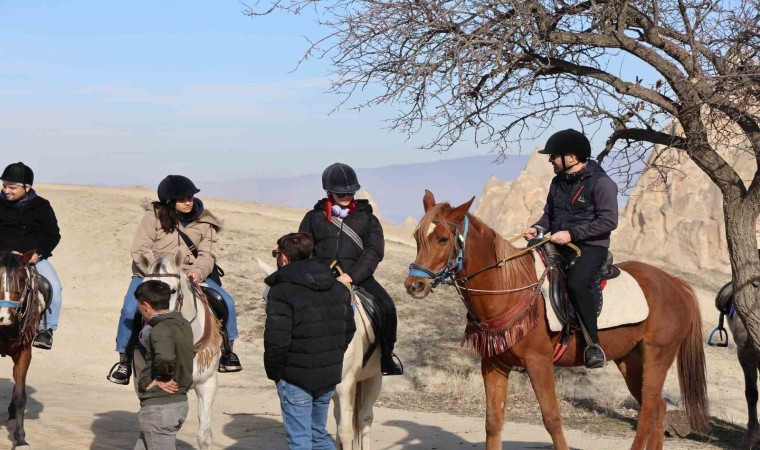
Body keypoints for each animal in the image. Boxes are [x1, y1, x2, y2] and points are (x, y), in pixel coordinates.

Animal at [406, 192, 708, 450]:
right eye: (418, 237)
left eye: (443, 239)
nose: (414, 285)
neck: (510, 288)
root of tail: (677, 284)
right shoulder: (493, 364)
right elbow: (493, 421)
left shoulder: (539, 363)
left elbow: (552, 419)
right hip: (630, 359)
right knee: (657, 408)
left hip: (658, 356)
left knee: (647, 411)